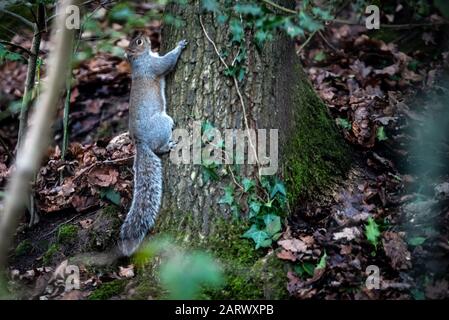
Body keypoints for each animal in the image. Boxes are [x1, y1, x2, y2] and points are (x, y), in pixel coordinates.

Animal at [119, 33, 187, 256]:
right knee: (159, 148)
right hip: (163, 123)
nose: (144, 35)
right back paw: (169, 146)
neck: (139, 60)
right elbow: (167, 62)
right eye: (139, 43)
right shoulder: (153, 66)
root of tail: (141, 143)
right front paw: (179, 46)